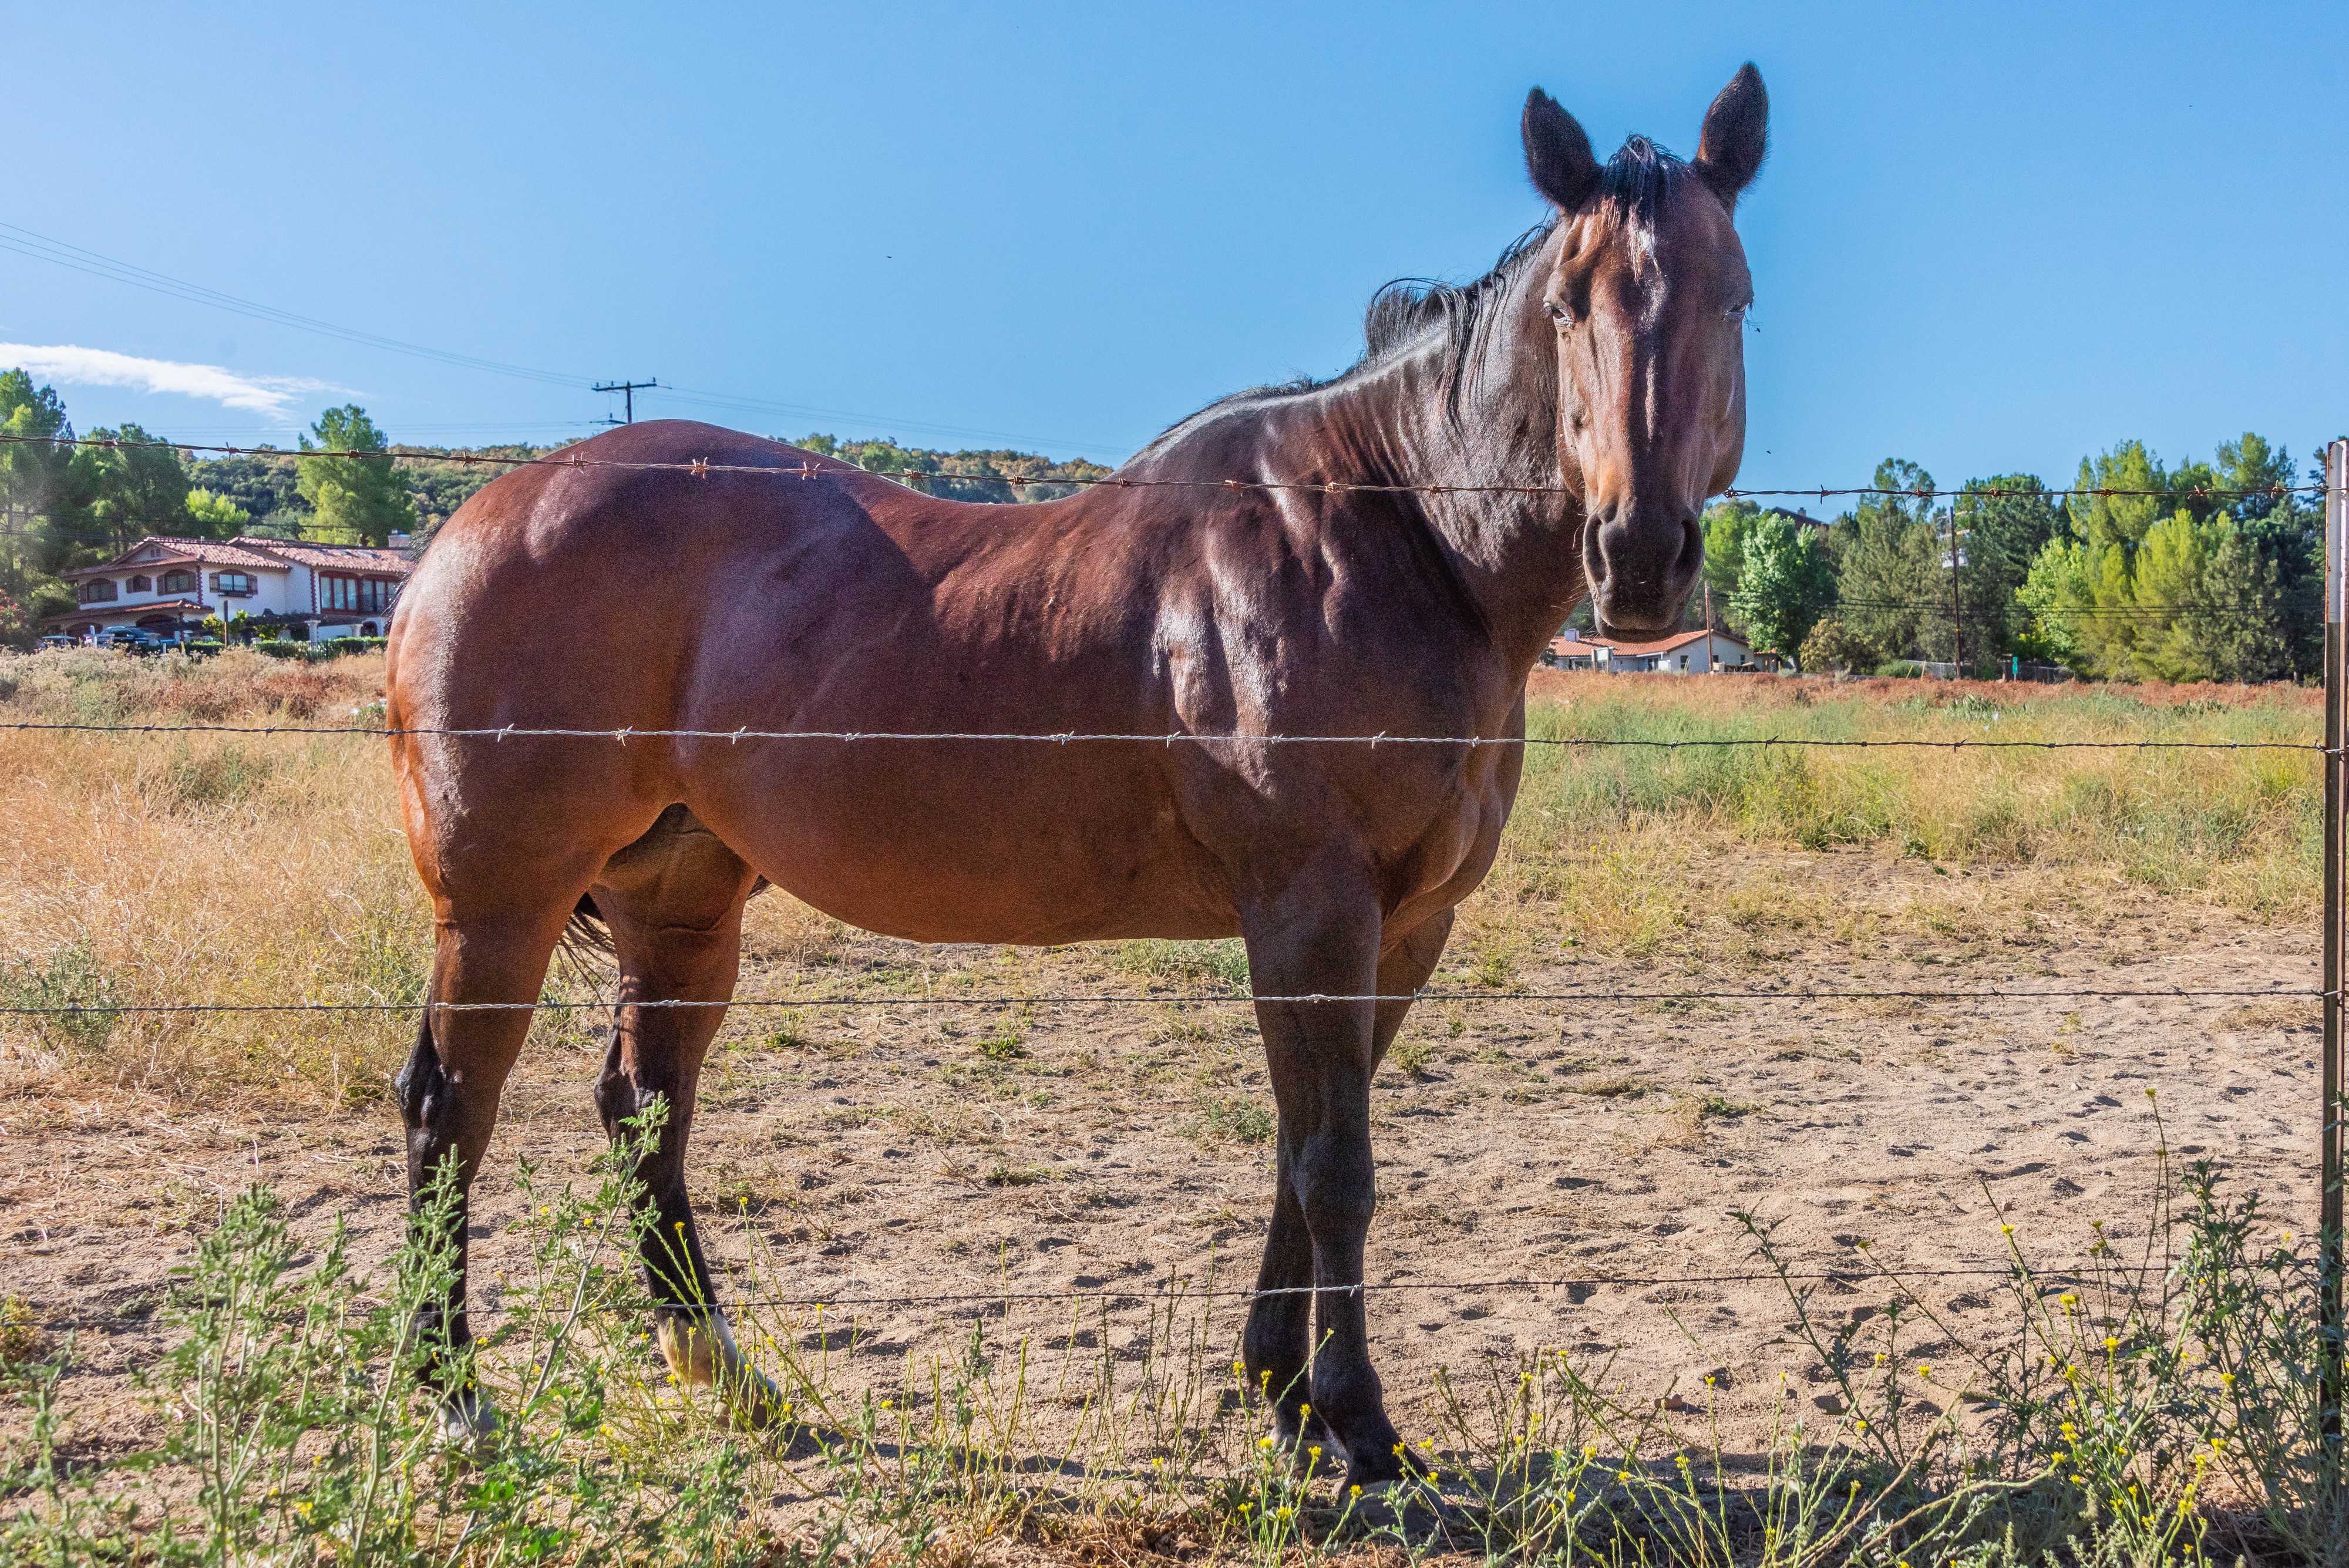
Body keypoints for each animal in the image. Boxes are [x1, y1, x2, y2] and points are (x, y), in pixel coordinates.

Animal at [385, 64, 1767, 1488]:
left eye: (1733, 299)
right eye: (1566, 307)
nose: (1640, 559)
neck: (1393, 542)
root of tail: (472, 527)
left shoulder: (1404, 929)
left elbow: (1298, 1153)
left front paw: (1278, 1391)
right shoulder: (1311, 912)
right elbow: (1336, 1166)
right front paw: (1359, 1422)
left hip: (681, 903)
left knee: (643, 1109)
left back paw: (724, 1375)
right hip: (501, 903)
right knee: (449, 1107)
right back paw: (453, 1396)